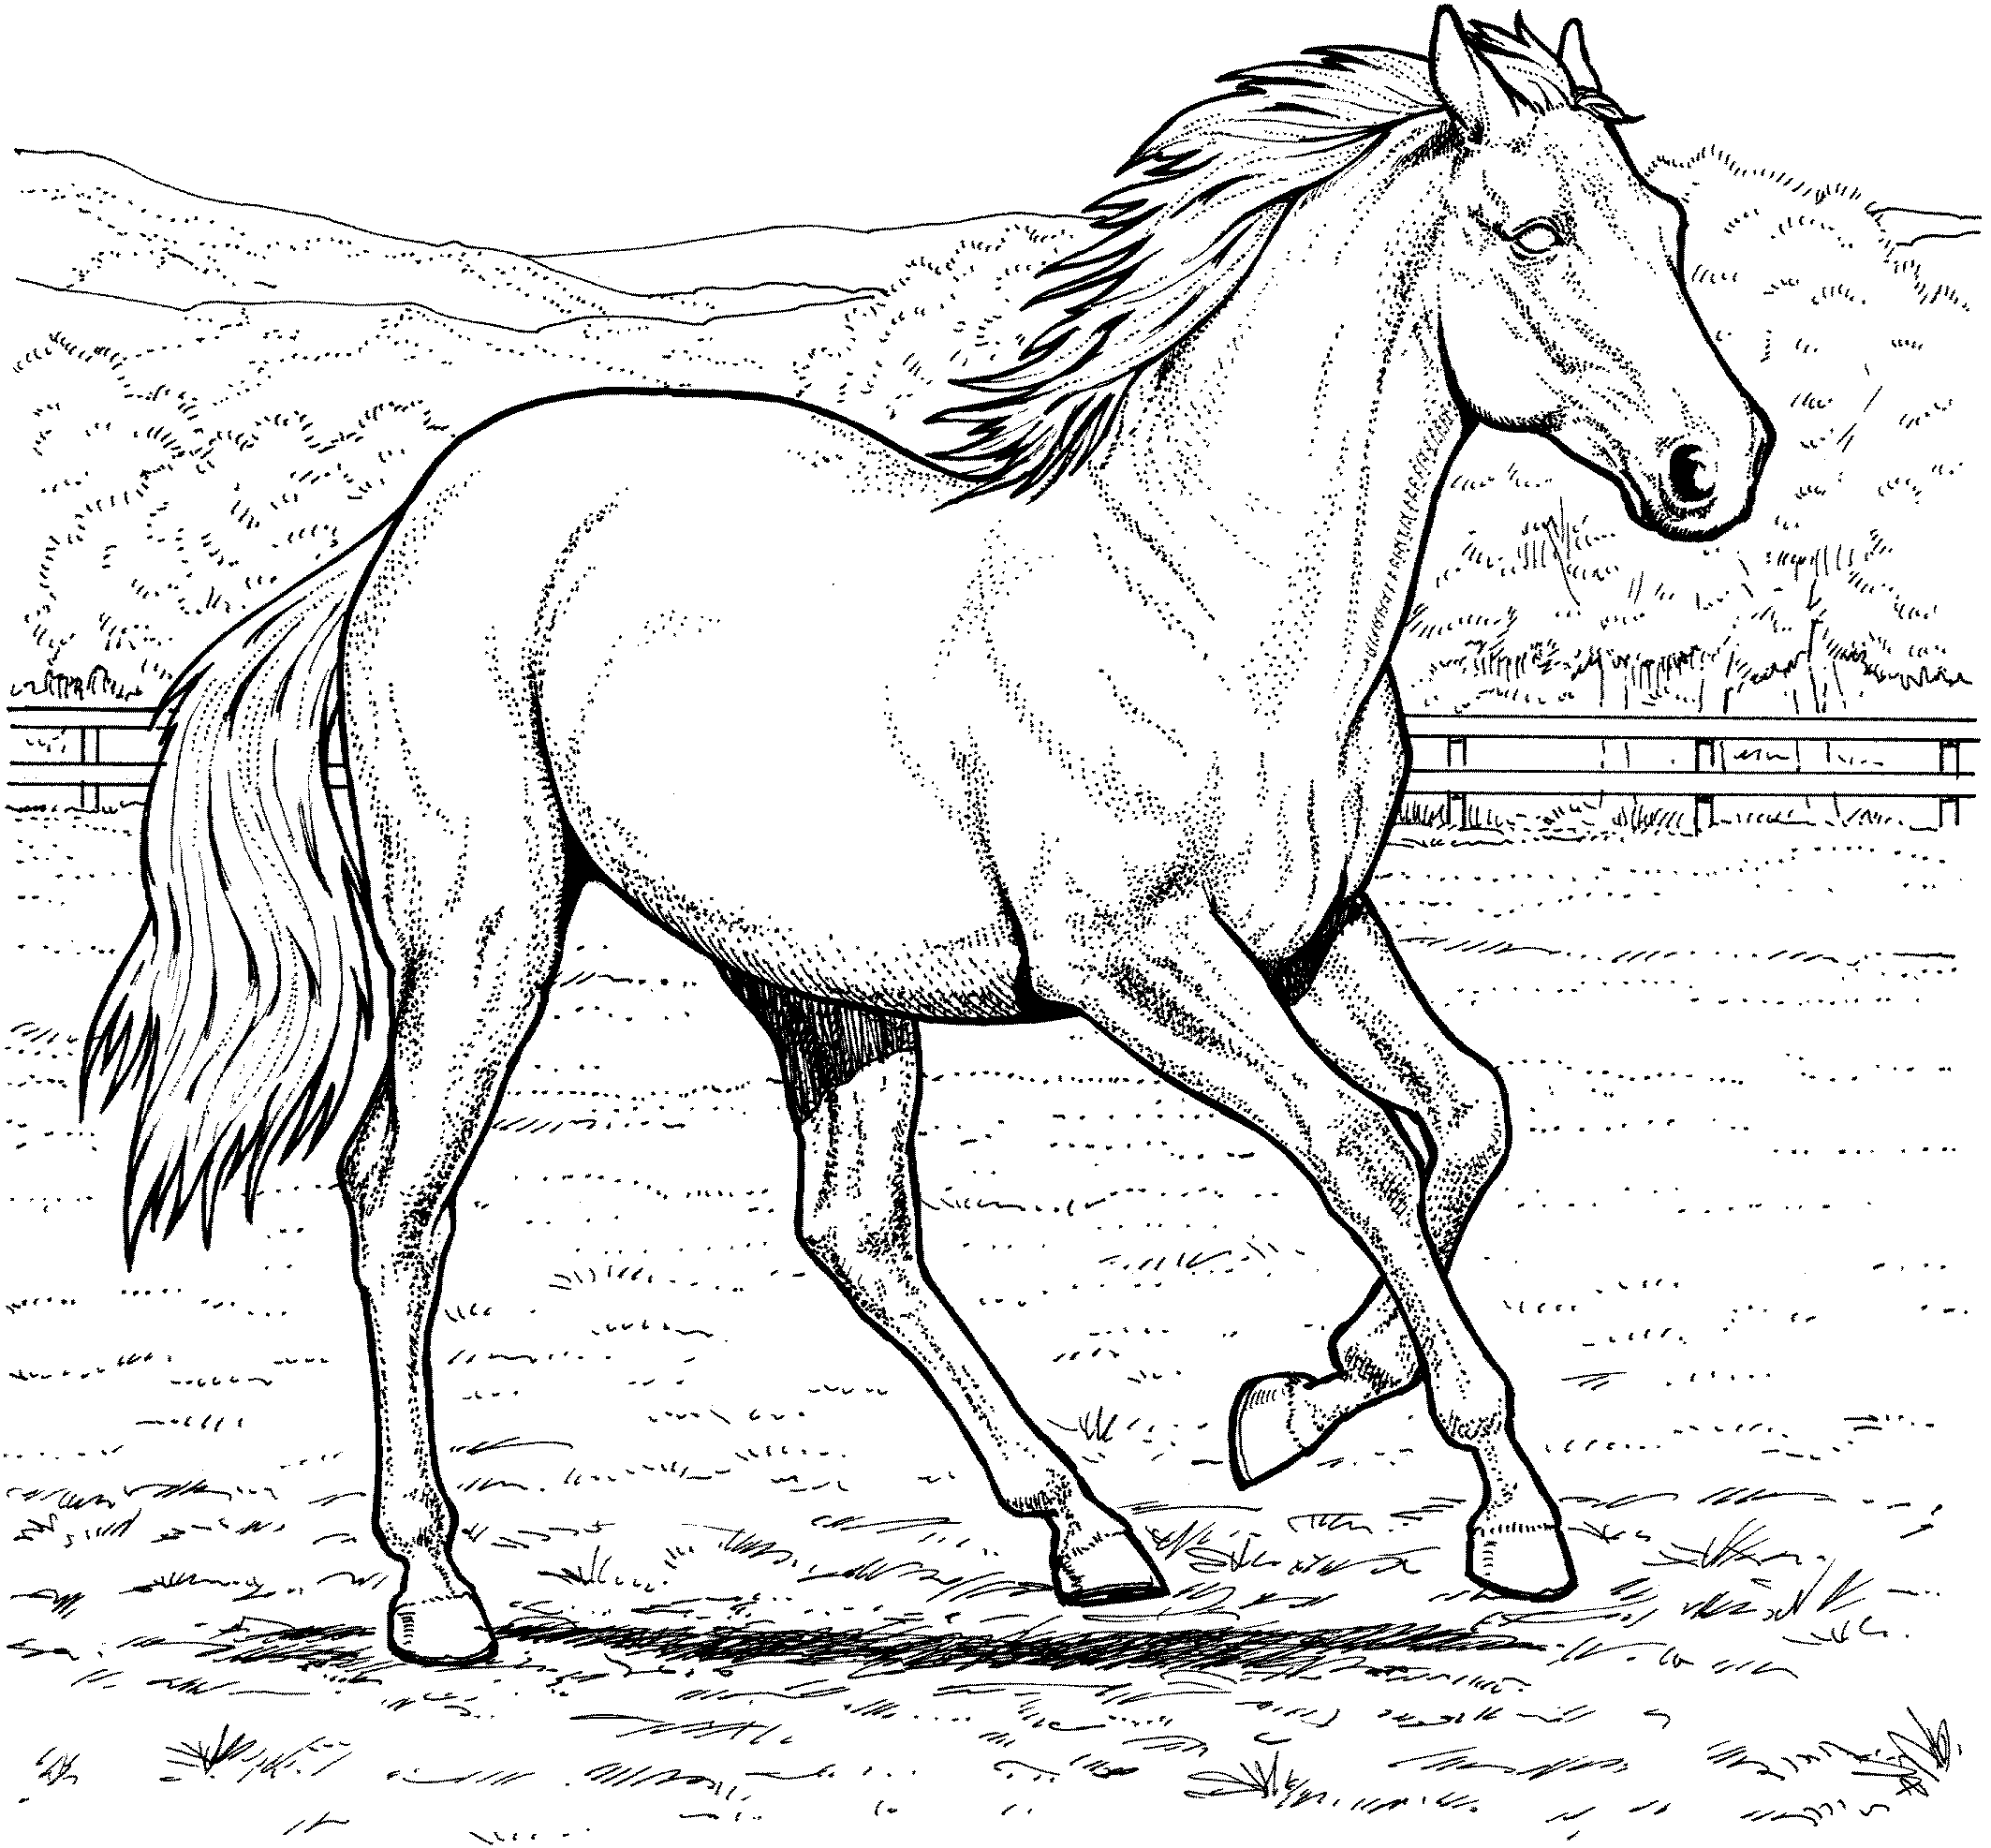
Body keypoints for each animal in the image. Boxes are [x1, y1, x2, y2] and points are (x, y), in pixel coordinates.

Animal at [84, 9, 1770, 1666]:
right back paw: (437, 1589)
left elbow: (1470, 1116)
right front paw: (1510, 1517)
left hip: (822, 986)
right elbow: (1359, 1144)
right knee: (401, 1195)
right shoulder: (1136, 960)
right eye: (1536, 230)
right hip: (486, 927)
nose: (1717, 464)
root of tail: (407, 525)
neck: (1203, 600)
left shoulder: (1313, 934)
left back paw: (1090, 1534)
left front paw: (1291, 1404)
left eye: (1667, 224)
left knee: (855, 1231)